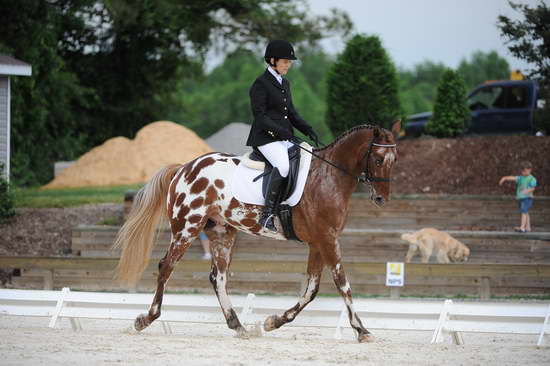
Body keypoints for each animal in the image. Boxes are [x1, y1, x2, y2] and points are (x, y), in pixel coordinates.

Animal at [115, 121, 402, 342]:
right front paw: (362, 330)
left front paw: (273, 322)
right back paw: (145, 319)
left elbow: (311, 289)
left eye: (395, 160)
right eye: (378, 159)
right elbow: (343, 284)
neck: (329, 176)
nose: (381, 199)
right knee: (166, 266)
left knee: (218, 278)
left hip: (222, 232)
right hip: (187, 227)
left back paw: (239, 326)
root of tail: (184, 168)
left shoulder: (318, 242)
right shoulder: (327, 239)